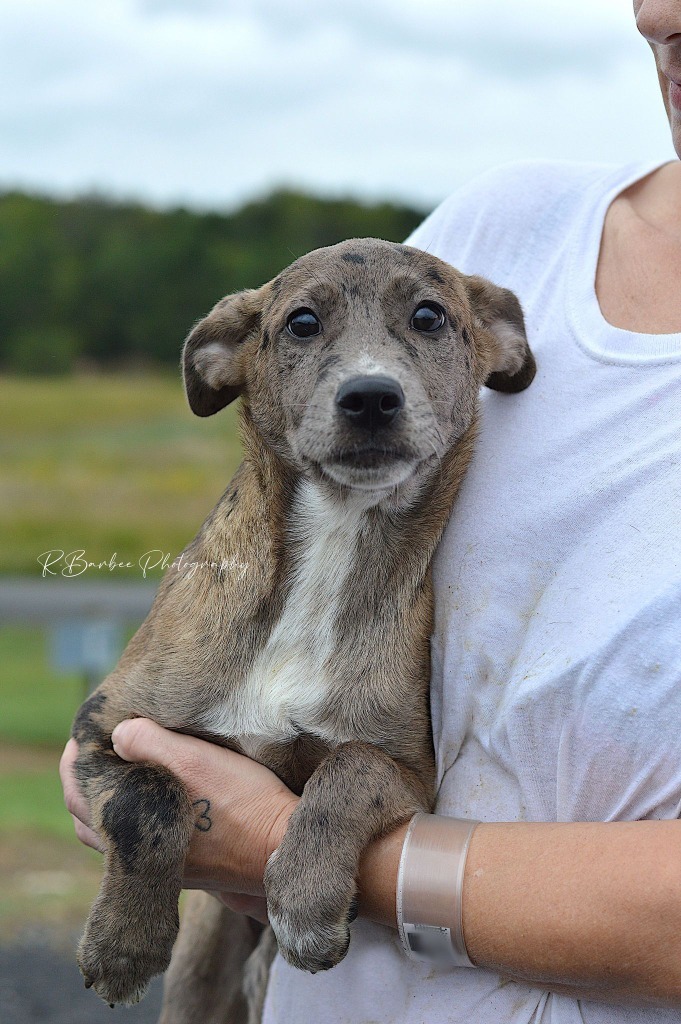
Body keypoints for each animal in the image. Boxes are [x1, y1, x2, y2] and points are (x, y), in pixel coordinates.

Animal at [71, 237, 532, 1015]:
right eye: (302, 322)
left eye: (429, 316)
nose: (371, 396)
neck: (327, 552)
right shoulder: (101, 727)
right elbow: (147, 794)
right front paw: (123, 942)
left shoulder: (413, 777)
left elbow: (348, 772)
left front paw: (307, 899)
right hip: (202, 972)